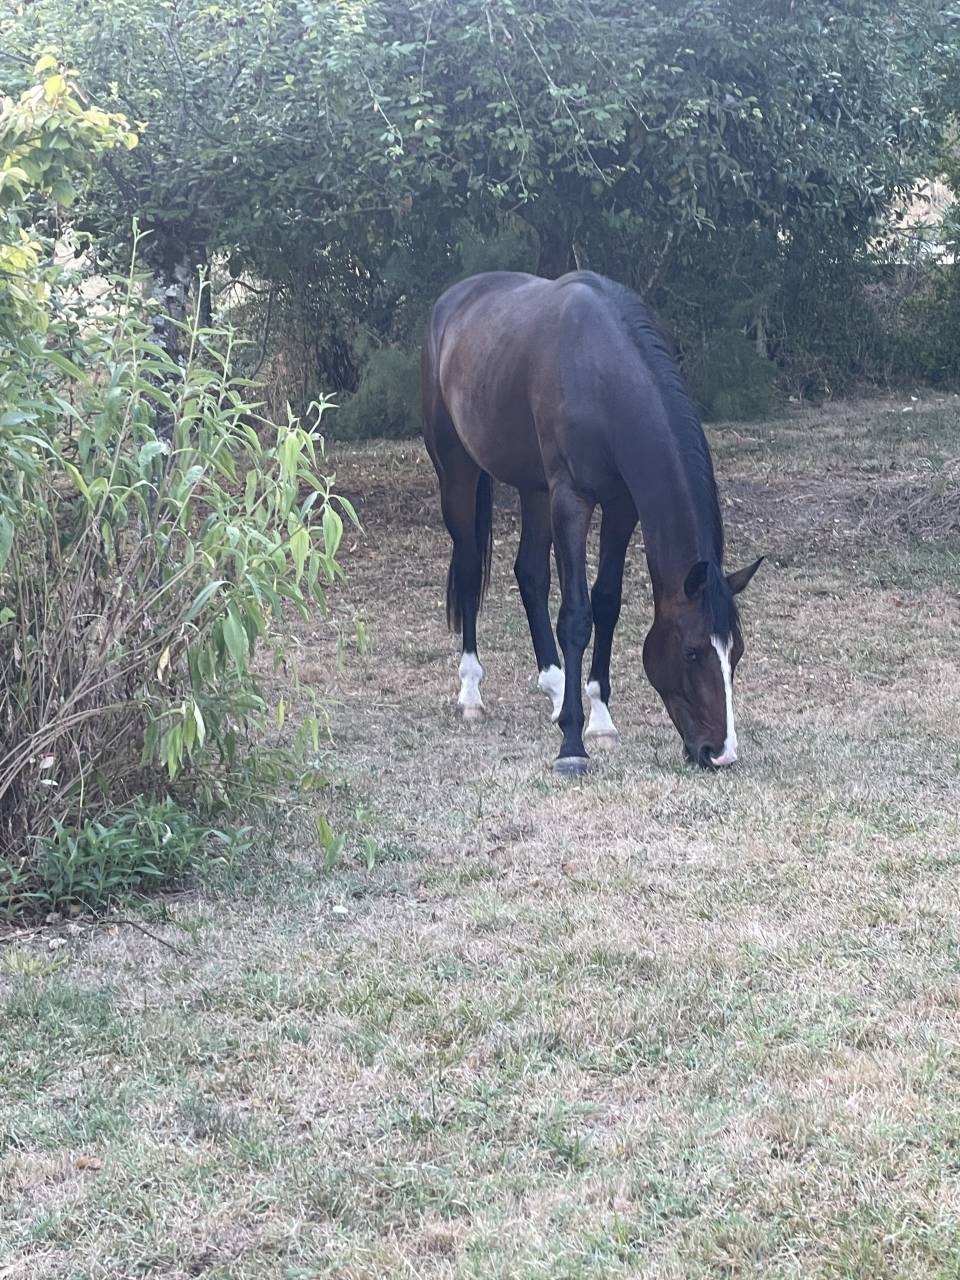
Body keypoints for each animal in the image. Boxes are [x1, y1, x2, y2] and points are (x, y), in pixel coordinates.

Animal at [421, 270, 762, 776]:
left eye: (735, 652)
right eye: (691, 651)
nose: (719, 752)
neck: (601, 374)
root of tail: (450, 302)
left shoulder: (621, 504)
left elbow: (606, 602)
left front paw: (599, 718)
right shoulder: (572, 500)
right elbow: (577, 614)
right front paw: (572, 744)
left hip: (534, 488)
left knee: (530, 573)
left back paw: (555, 686)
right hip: (458, 472)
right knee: (467, 570)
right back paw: (471, 693)